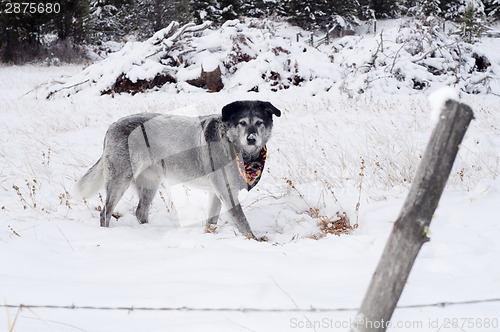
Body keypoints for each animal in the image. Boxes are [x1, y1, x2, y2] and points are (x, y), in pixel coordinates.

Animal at [76, 99, 284, 239]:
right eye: (242, 123)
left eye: (259, 122)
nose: (251, 139)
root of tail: (111, 126)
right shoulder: (226, 192)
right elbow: (243, 224)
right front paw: (255, 242)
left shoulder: (217, 193)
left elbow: (211, 222)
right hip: (120, 180)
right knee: (105, 212)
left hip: (149, 183)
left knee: (140, 211)